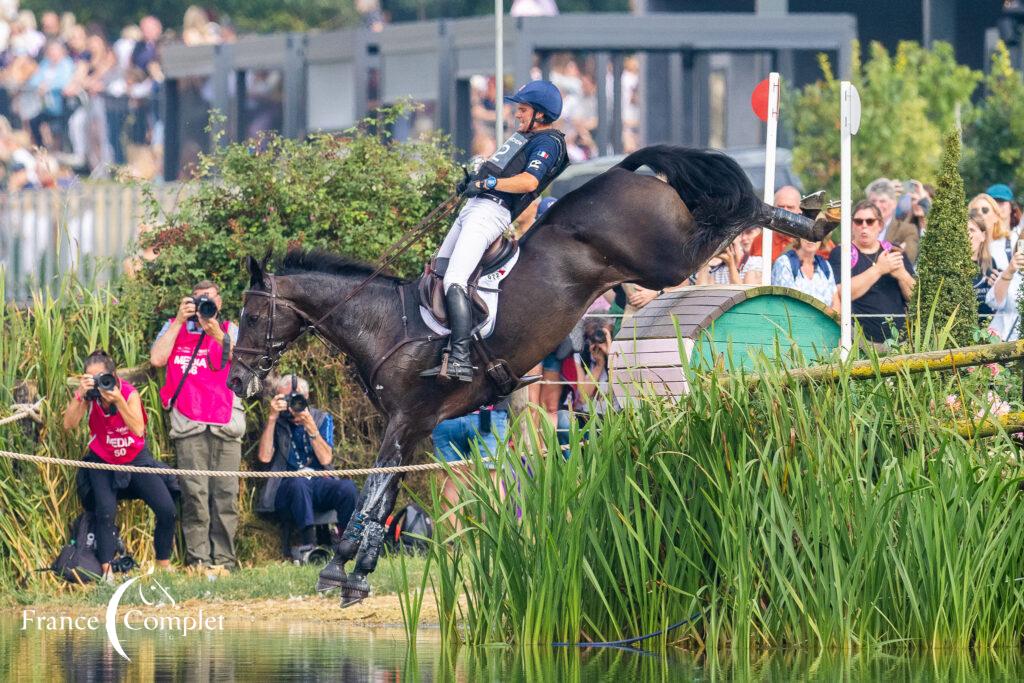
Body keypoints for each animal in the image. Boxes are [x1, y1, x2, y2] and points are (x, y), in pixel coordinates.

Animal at [228, 147, 835, 606]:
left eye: (252, 316)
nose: (236, 382)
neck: (384, 322)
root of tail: (621, 171)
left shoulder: (406, 420)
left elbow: (376, 492)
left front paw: (343, 568)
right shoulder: (413, 428)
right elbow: (386, 494)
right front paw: (355, 569)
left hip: (666, 258)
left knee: (735, 214)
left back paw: (811, 220)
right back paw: (814, 218)